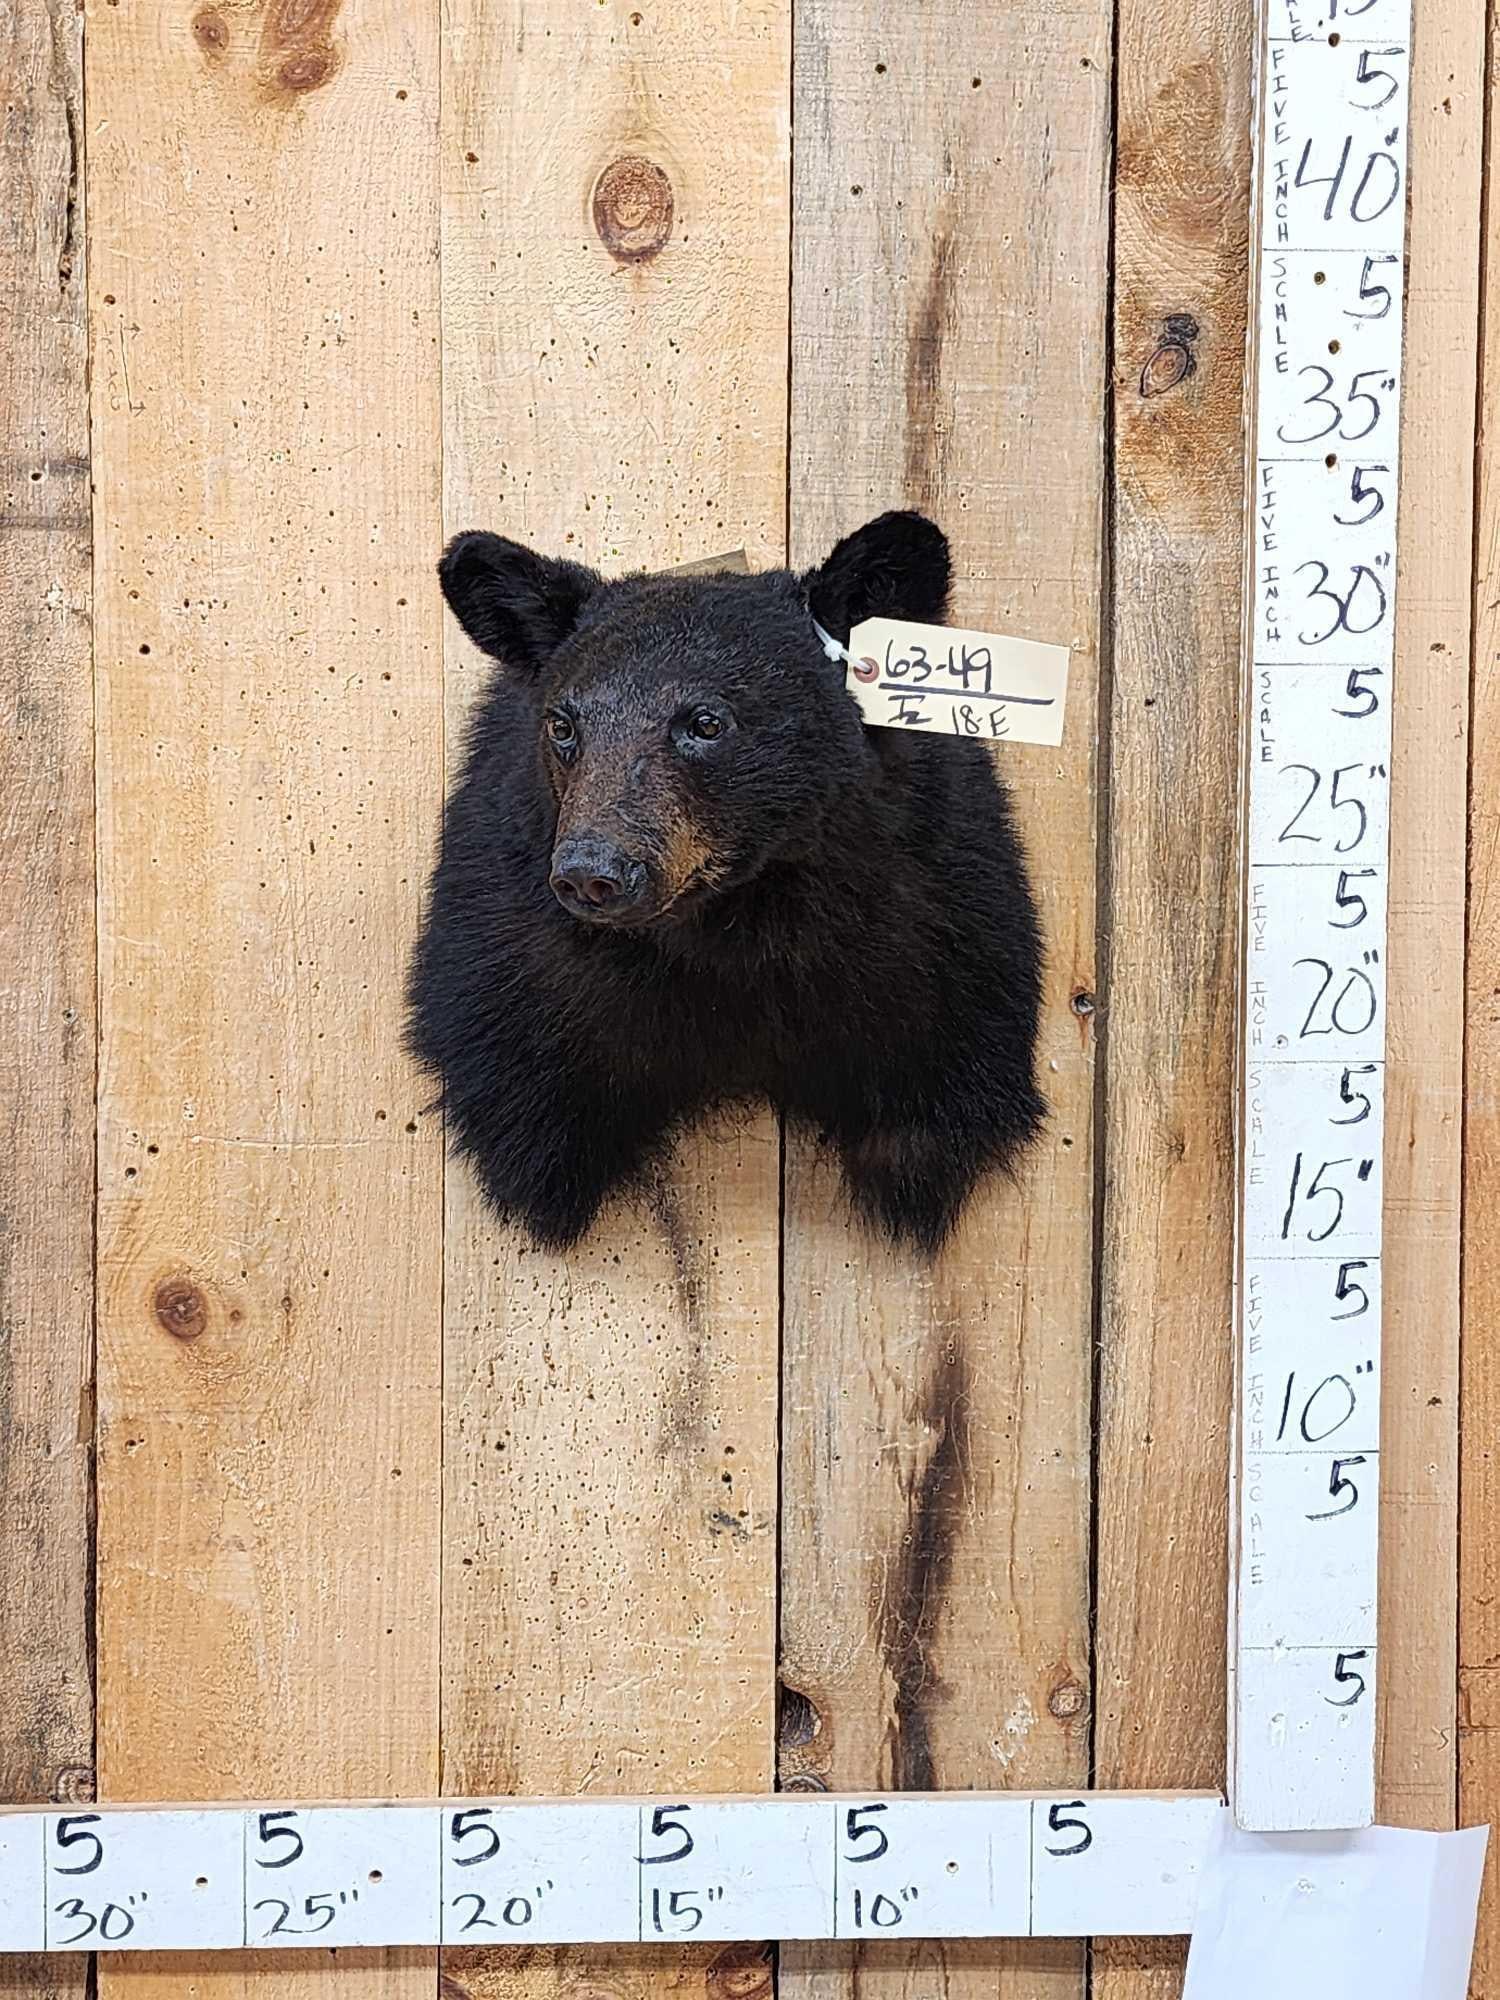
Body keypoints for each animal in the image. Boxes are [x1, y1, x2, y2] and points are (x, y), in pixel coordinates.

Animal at [407, 510, 1046, 1256]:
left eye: (706, 722)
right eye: (563, 724)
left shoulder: (944, 943)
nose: (593, 872)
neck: (731, 931)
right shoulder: (509, 975)